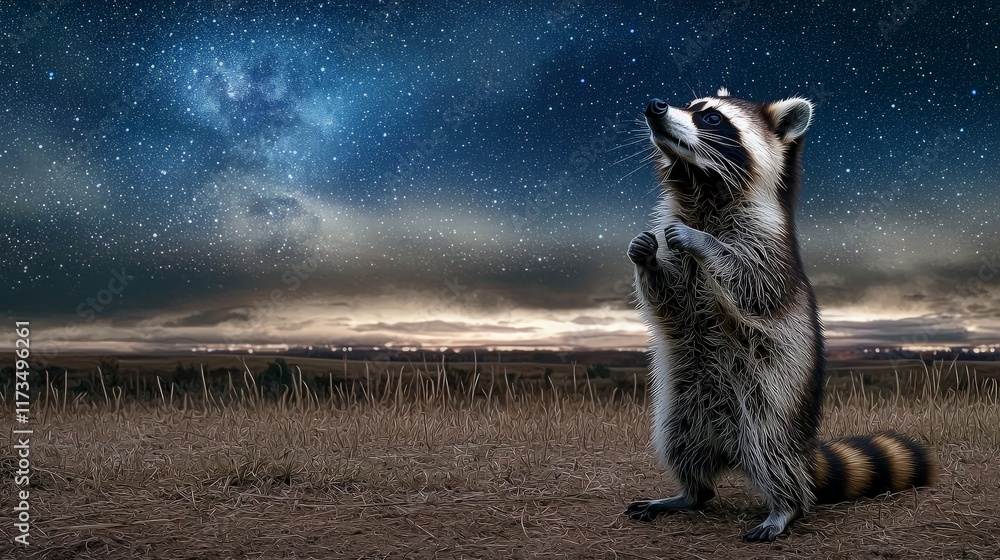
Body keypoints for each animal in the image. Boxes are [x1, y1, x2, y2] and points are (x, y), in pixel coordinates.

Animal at [625, 88, 937, 542]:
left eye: (712, 118)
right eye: (691, 105)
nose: (655, 107)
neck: (702, 186)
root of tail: (727, 446)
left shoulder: (769, 251)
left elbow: (750, 287)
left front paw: (703, 242)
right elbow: (671, 301)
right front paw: (645, 258)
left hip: (772, 403)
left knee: (771, 452)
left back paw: (785, 506)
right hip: (683, 405)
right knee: (679, 443)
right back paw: (689, 492)